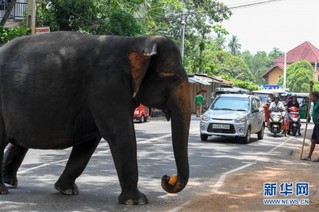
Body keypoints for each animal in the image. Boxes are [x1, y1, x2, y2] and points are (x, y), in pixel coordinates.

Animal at [0, 31, 191, 205]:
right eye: (173, 78)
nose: (167, 177)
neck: (137, 41)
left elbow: (89, 142)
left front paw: (67, 190)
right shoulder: (107, 87)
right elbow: (121, 135)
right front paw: (137, 201)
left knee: (19, 142)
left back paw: (10, 182)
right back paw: (3, 190)